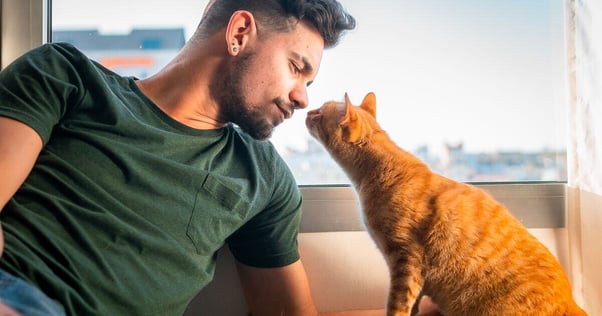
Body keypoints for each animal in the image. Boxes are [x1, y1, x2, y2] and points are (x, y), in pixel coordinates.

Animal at [302, 92, 584, 316]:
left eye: (319, 113)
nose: (307, 111)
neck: (378, 171)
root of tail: (572, 303)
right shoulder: (410, 271)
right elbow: (413, 303)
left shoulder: (406, 260)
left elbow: (398, 305)